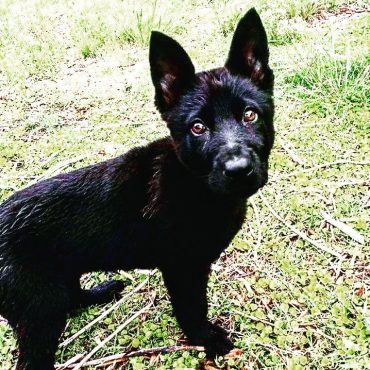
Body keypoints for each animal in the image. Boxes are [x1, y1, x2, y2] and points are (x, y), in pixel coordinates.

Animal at [0, 8, 274, 370]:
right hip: (40, 313)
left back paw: (100, 292)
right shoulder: (182, 269)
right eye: (197, 128)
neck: (195, 185)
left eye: (250, 115)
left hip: (59, 281)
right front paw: (208, 341)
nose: (239, 170)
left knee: (72, 297)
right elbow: (192, 311)